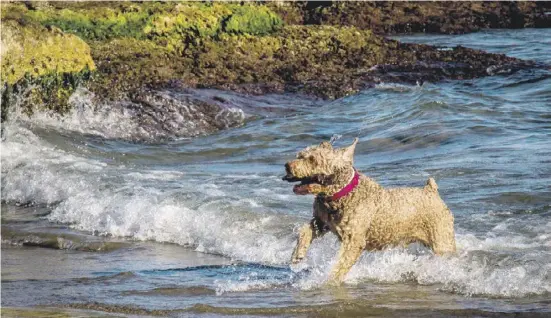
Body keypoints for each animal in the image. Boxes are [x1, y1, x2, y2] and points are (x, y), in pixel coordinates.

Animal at [284, 139, 458, 284]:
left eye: (312, 159)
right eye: (300, 155)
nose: (286, 165)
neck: (341, 194)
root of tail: (431, 191)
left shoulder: (353, 240)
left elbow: (341, 263)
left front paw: (330, 280)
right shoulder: (321, 221)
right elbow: (305, 230)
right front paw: (297, 254)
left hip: (442, 239)